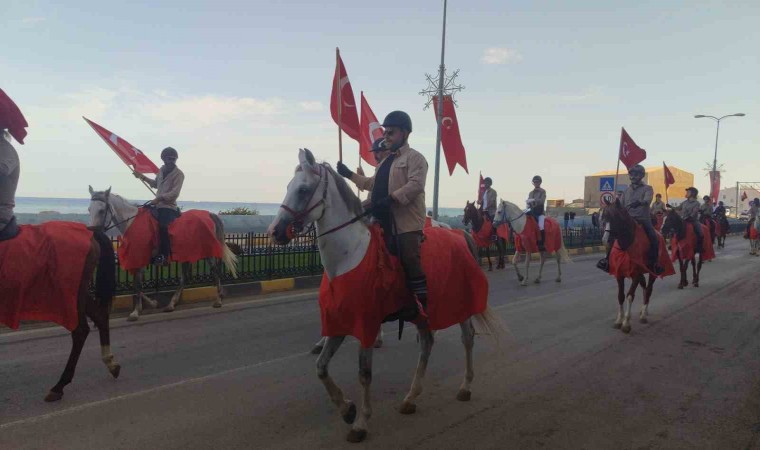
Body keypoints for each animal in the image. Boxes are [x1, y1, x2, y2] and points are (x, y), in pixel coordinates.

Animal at [86, 186, 236, 320]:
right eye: (89, 209)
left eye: (101, 210)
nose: (94, 232)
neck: (132, 223)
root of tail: (209, 214)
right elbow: (137, 285)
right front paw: (150, 304)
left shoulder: (139, 258)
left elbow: (137, 285)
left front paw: (135, 312)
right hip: (186, 253)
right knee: (184, 277)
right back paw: (171, 304)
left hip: (208, 252)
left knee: (215, 271)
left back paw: (218, 300)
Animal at [270, 150, 502, 442]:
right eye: (289, 186)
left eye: (302, 190)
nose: (275, 231)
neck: (349, 256)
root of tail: (460, 235)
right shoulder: (340, 322)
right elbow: (321, 368)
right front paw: (346, 408)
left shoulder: (366, 324)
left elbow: (364, 374)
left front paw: (361, 422)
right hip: (423, 312)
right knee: (428, 343)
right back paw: (411, 398)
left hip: (458, 303)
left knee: (467, 338)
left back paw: (465, 386)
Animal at [604, 202, 672, 332]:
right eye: (603, 216)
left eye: (615, 217)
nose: (605, 239)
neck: (627, 244)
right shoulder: (619, 274)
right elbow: (620, 296)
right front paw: (619, 320)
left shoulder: (636, 274)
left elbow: (630, 296)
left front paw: (626, 323)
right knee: (644, 288)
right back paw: (643, 310)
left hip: (652, 271)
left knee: (649, 289)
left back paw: (644, 314)